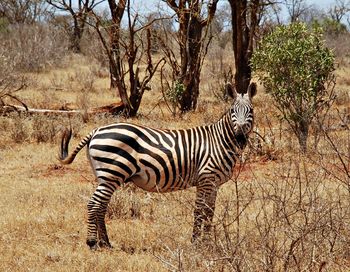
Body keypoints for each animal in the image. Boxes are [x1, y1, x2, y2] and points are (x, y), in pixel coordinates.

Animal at [58, 83, 258, 249]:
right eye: (232, 110)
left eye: (250, 111)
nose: (240, 136)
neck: (219, 140)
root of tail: (96, 130)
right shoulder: (206, 178)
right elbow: (199, 211)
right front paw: (197, 243)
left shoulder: (214, 183)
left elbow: (209, 212)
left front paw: (207, 242)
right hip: (111, 173)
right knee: (94, 204)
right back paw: (92, 243)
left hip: (105, 176)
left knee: (101, 206)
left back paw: (106, 243)